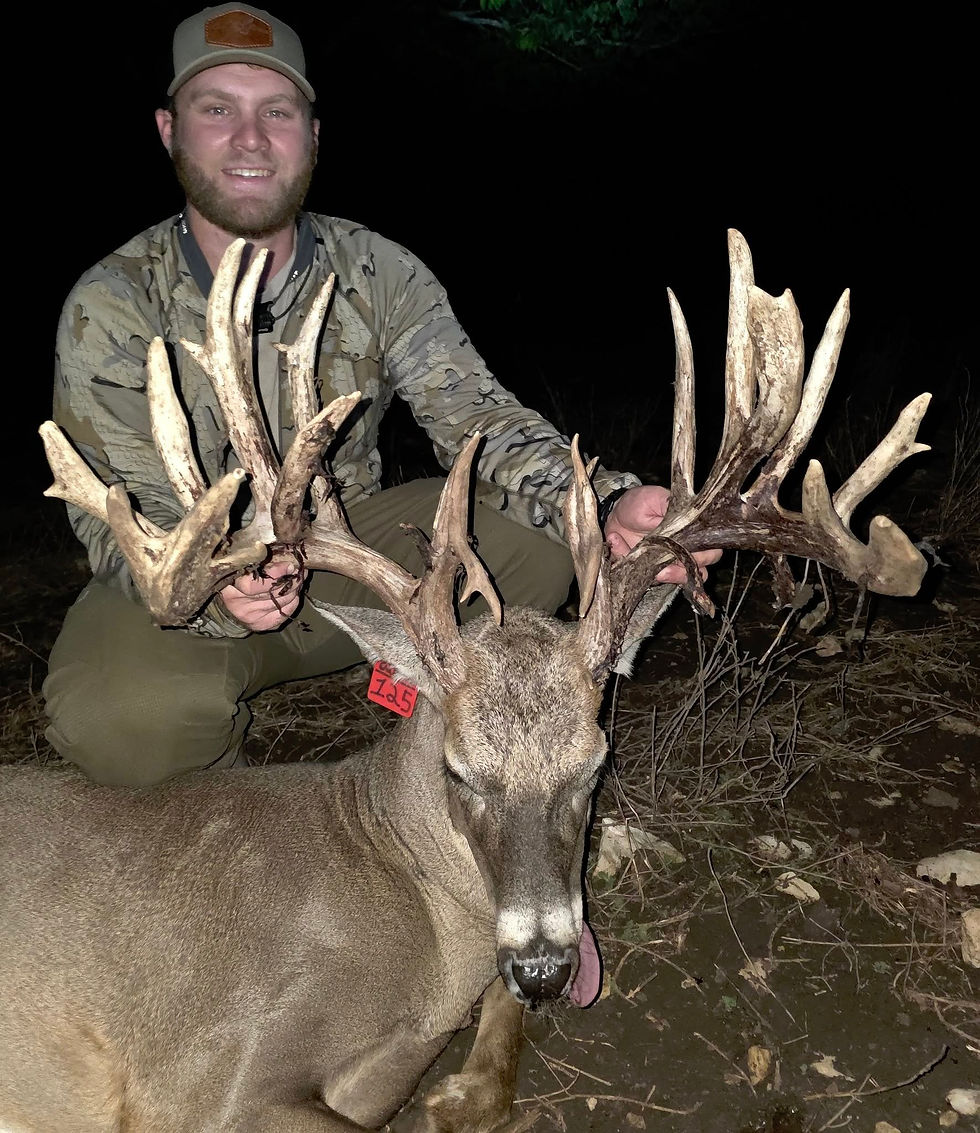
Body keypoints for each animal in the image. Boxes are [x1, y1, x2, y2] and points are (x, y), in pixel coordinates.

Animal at [1, 230, 930, 1132]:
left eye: (595, 763)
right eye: (458, 770)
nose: (548, 966)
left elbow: (490, 1046)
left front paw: (461, 1086)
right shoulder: (197, 1076)